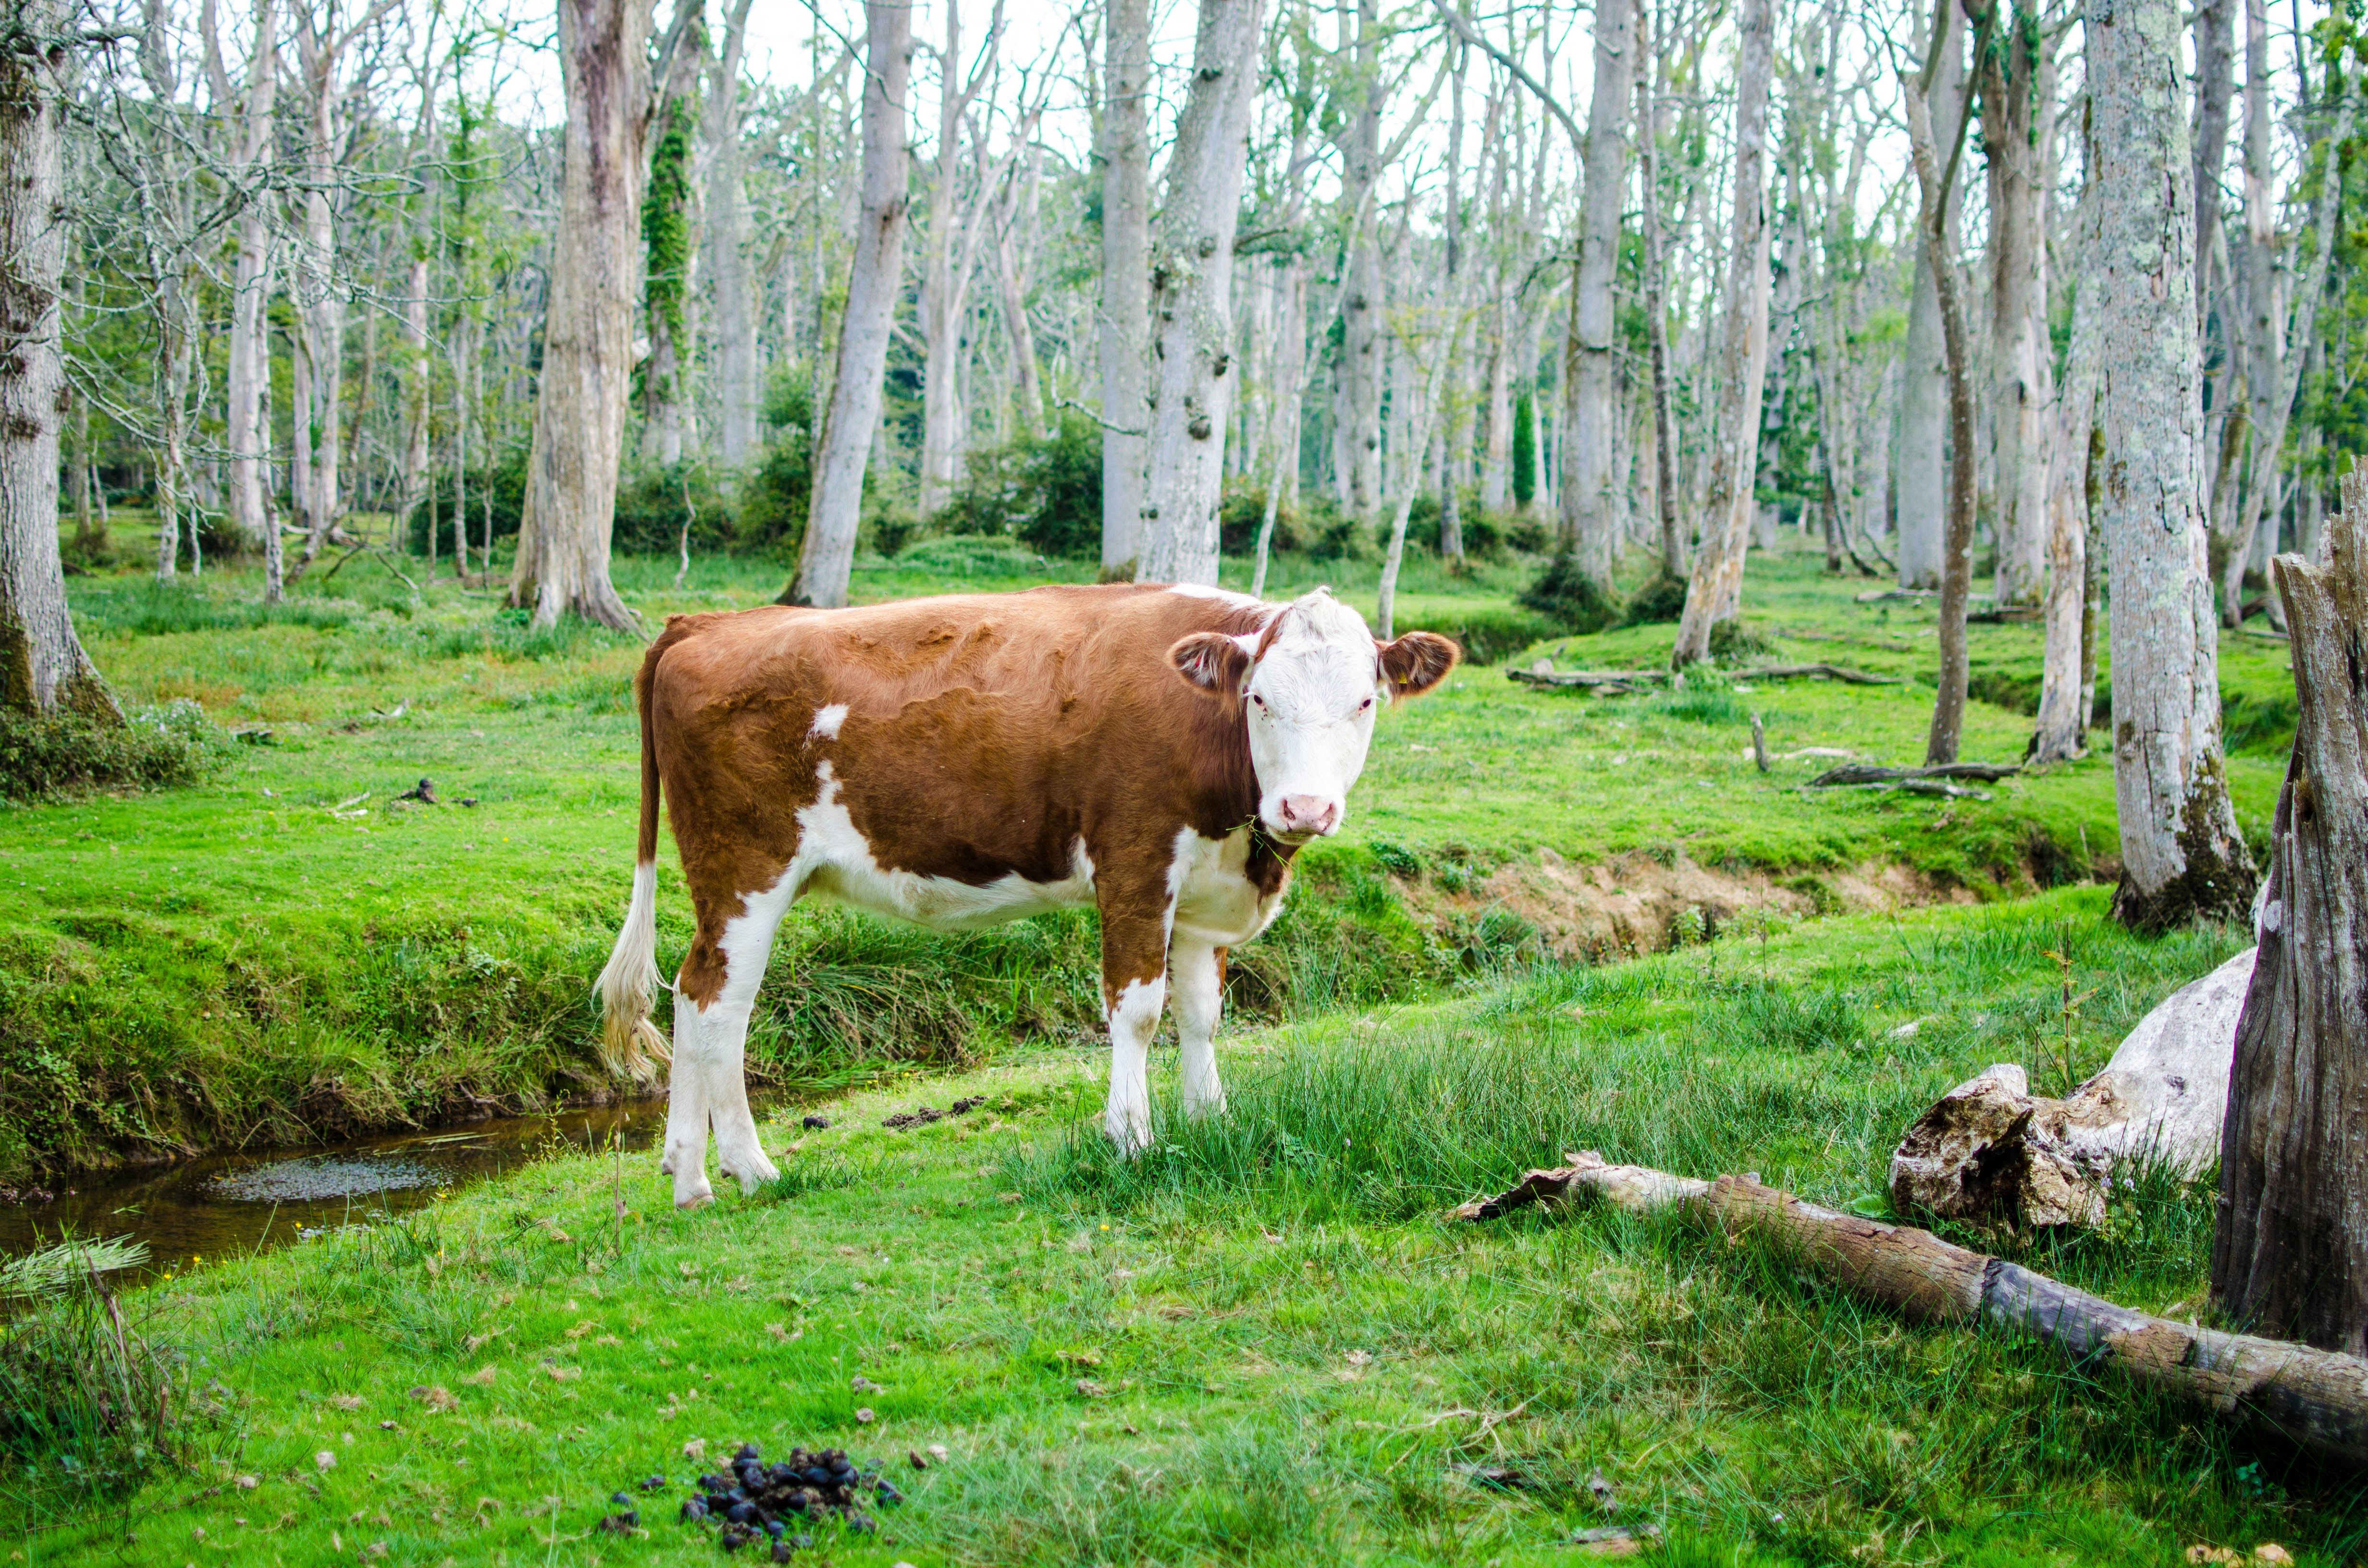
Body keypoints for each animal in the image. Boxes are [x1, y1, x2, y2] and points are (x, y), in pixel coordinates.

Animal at [601, 582, 1449, 1208]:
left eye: (1365, 701)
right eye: (1261, 700)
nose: (1305, 808)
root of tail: (707, 622)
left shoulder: (1206, 893)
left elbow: (1203, 1016)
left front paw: (1211, 1121)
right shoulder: (1135, 866)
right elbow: (1138, 1013)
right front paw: (1131, 1139)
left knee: (691, 995)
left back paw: (687, 1168)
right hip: (746, 868)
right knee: (720, 1003)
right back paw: (742, 1169)